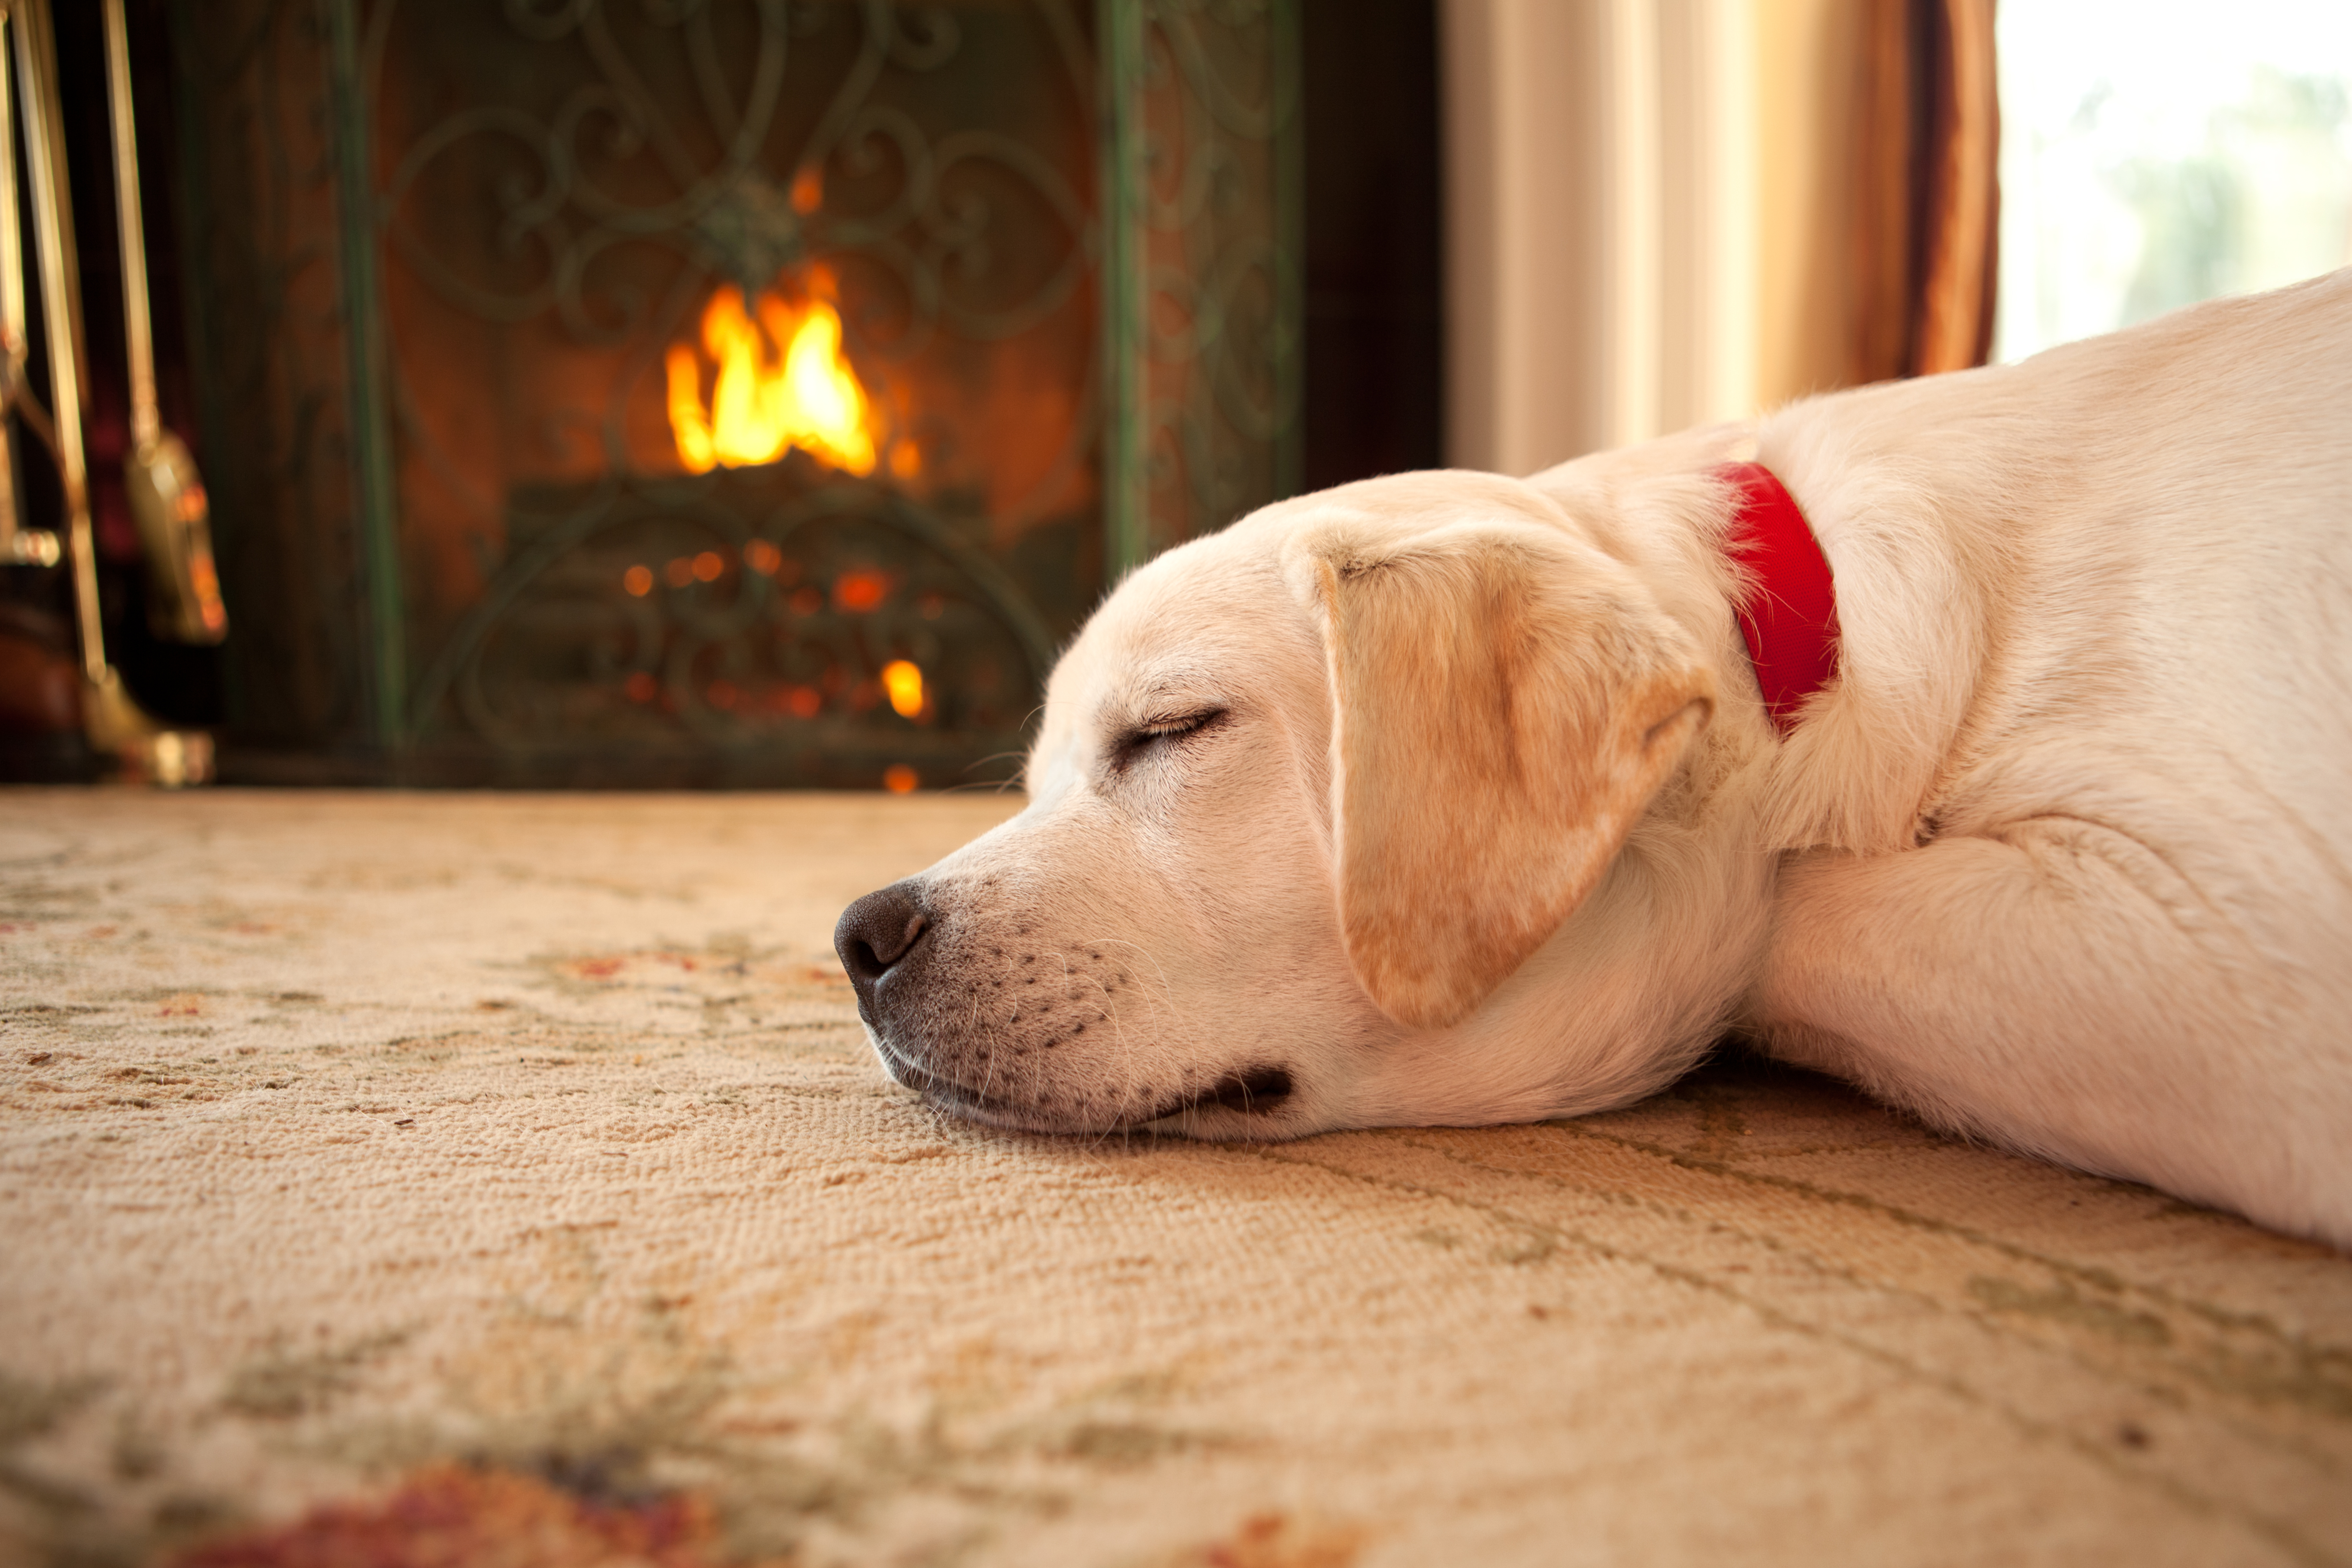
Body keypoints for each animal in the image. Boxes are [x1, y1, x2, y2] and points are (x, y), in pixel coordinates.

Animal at [837, 270, 2352, 1251]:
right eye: (1034, 777)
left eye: (1172, 730)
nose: (861, 932)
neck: (1817, 645)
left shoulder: (2238, 963)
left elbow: (1787, 912)